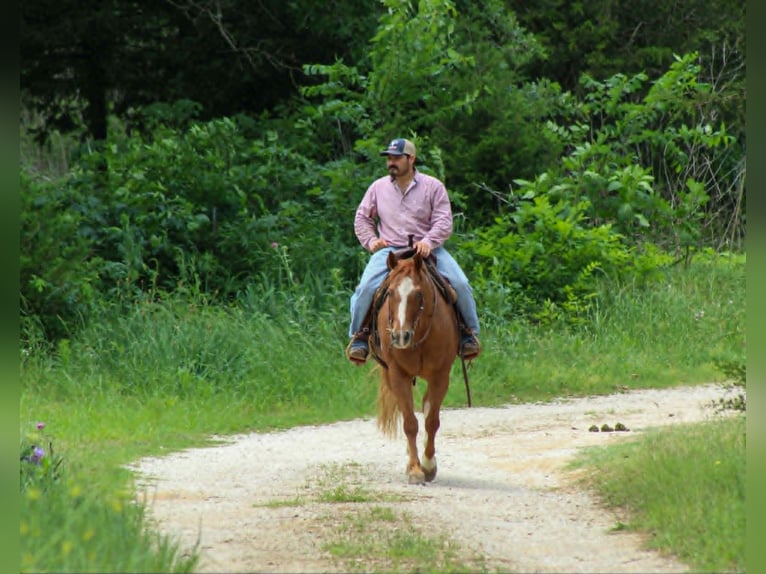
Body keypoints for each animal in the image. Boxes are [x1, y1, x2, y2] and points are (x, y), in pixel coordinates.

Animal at [370, 249, 460, 485]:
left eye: (418, 294)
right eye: (390, 292)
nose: (401, 337)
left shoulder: (441, 376)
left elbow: (431, 421)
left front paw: (428, 466)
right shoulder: (397, 374)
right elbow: (410, 423)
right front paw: (414, 469)